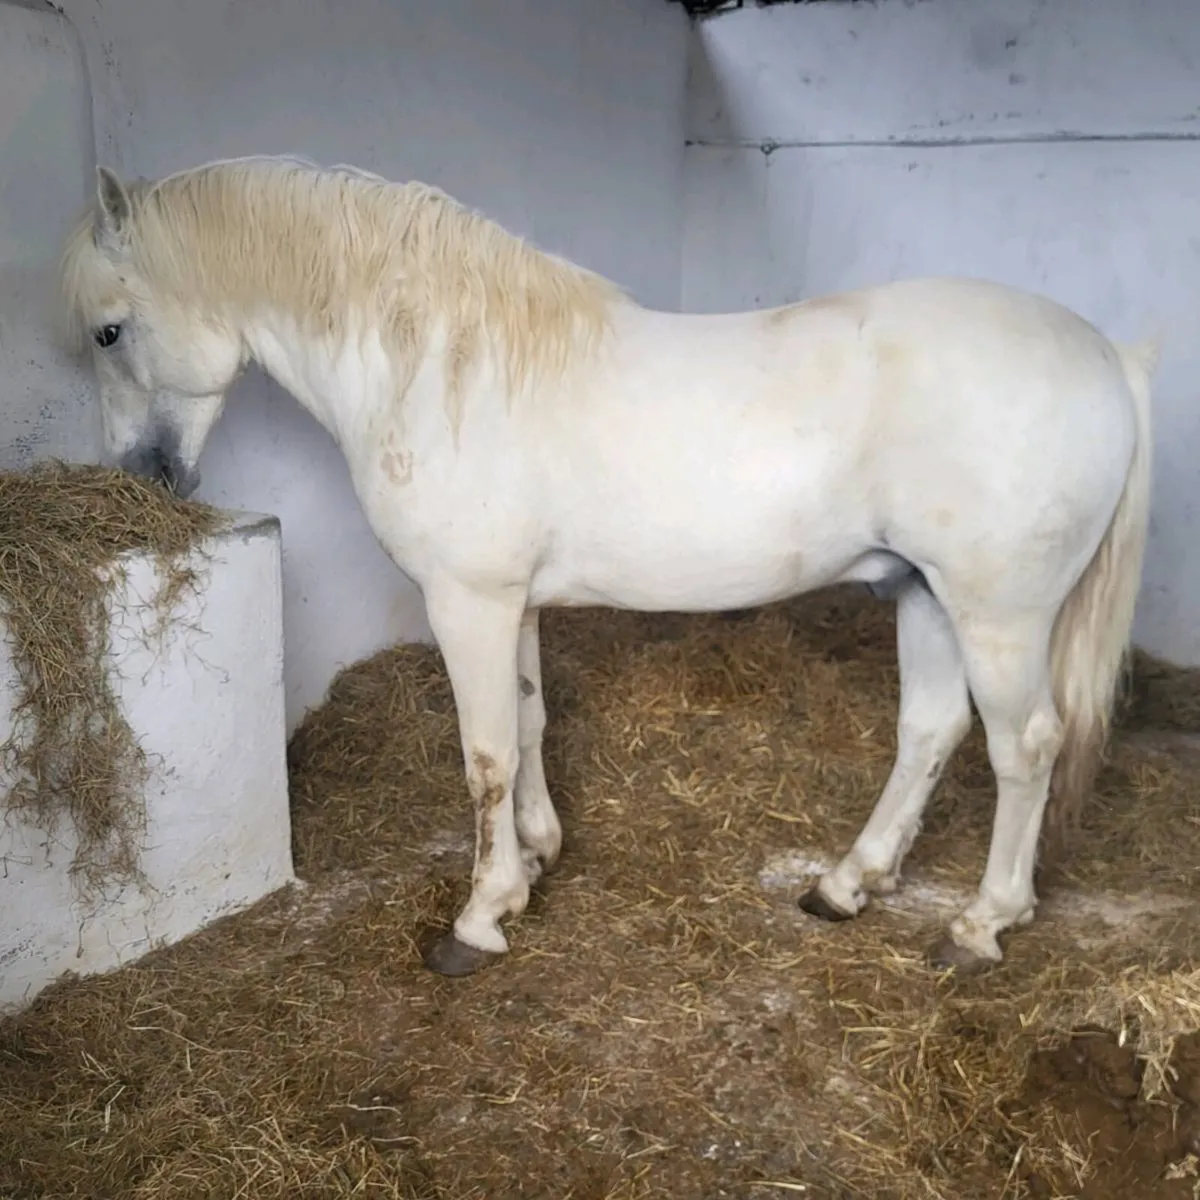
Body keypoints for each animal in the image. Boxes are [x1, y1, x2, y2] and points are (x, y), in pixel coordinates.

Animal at [58, 154, 1157, 978]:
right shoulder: (514, 604)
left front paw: (479, 919)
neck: (443, 372)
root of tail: (1108, 356)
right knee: (930, 731)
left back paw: (981, 926)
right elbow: (530, 723)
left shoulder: (468, 602)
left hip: (998, 615)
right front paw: (536, 862)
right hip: (922, 592)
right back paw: (847, 884)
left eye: (110, 331)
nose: (143, 478)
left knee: (1026, 748)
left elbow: (485, 755)